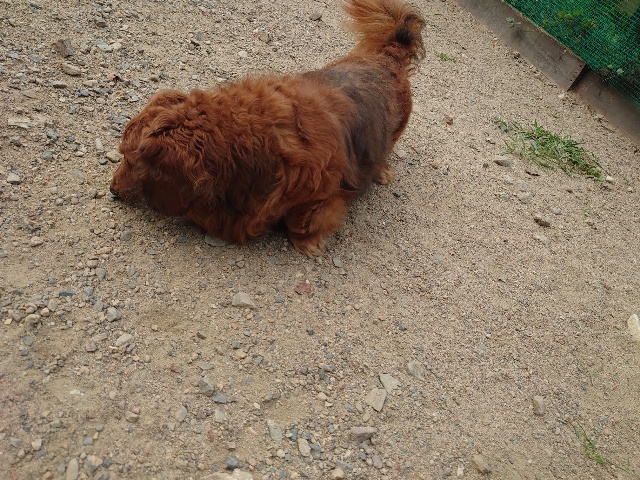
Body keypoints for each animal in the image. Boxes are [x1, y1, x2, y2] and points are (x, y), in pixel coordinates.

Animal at [110, 0, 425, 256]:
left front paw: (309, 242)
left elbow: (302, 220)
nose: (112, 191)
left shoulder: (321, 194)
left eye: (132, 161)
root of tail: (386, 57)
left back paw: (382, 171)